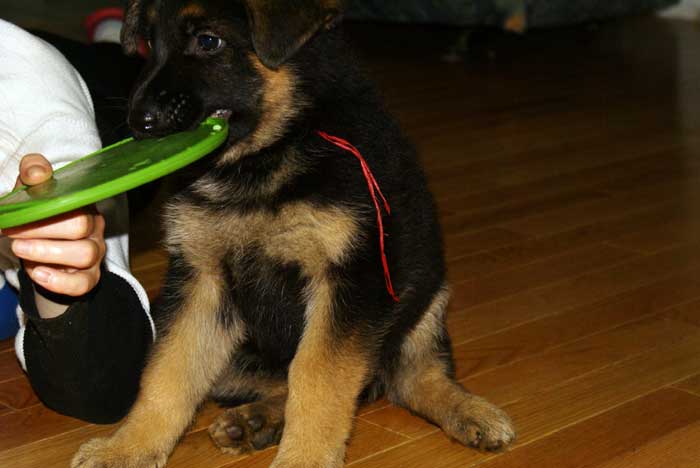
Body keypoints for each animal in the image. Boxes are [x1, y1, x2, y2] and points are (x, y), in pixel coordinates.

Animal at [74, 0, 516, 468]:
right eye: (149, 42)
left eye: (208, 41)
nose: (137, 122)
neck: (272, 152)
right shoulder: (202, 281)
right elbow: (168, 372)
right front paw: (128, 447)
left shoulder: (349, 283)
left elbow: (317, 375)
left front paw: (305, 457)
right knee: (298, 383)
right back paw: (254, 420)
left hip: (425, 298)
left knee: (412, 376)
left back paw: (469, 410)